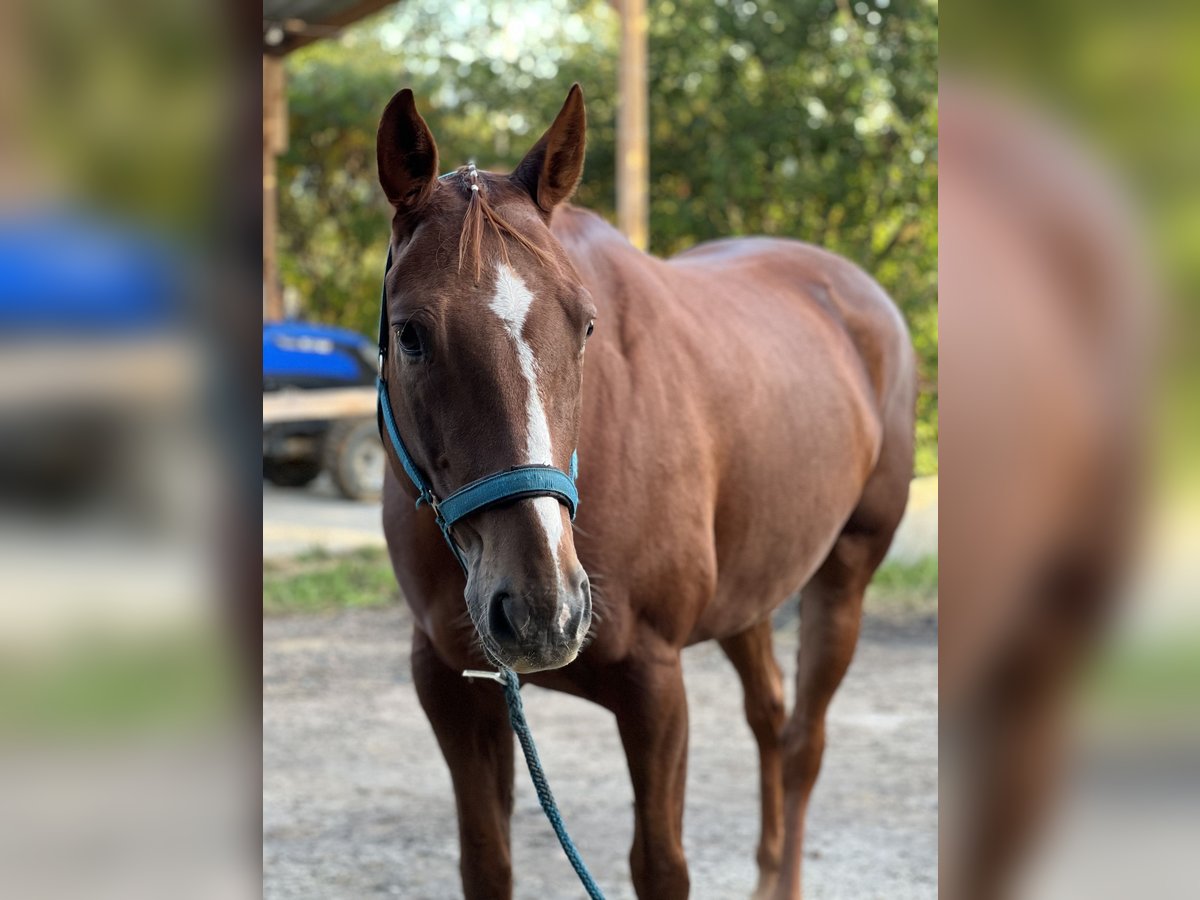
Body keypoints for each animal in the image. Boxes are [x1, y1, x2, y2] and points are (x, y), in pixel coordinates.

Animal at [377, 84, 916, 900]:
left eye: (585, 325)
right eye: (411, 333)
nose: (543, 609)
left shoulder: (654, 685)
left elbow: (660, 866)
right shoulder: (451, 686)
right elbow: (486, 861)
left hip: (844, 576)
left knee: (803, 742)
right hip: (750, 591)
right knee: (770, 715)